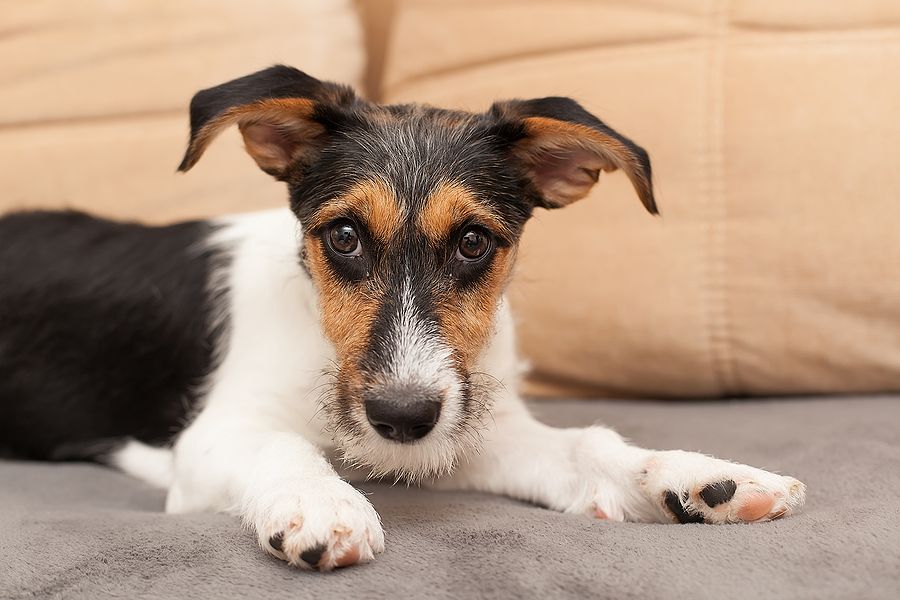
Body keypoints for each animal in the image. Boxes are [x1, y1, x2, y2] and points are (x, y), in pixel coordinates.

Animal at [0, 65, 808, 572]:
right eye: (344, 237)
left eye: (474, 242)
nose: (400, 417)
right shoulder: (209, 438)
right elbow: (283, 446)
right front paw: (323, 503)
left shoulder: (464, 433)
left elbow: (590, 447)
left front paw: (697, 475)